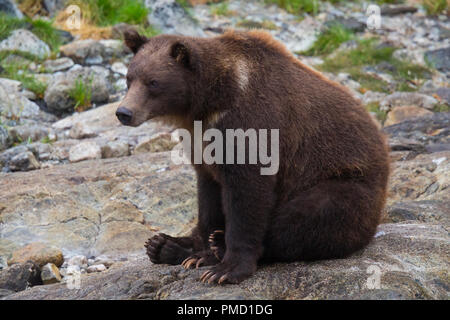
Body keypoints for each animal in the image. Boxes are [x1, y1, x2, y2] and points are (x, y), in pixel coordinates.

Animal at [116, 28, 390, 284]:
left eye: (153, 82)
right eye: (129, 79)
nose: (124, 112)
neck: (208, 104)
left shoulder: (250, 124)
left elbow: (248, 194)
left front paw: (224, 269)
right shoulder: (201, 143)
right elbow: (209, 195)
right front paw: (199, 254)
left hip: (346, 182)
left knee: (313, 215)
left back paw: (217, 244)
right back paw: (164, 245)